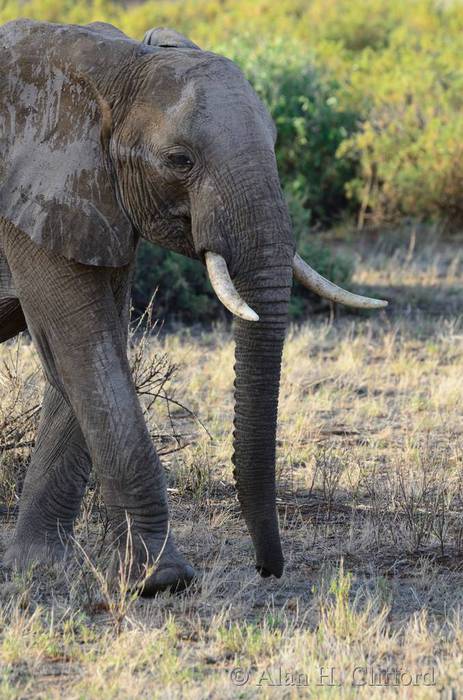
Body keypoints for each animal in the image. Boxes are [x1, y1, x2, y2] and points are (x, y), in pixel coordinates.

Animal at [0, 19, 387, 594]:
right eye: (179, 160)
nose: (267, 569)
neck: (111, 67)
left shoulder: (91, 201)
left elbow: (86, 356)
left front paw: (41, 566)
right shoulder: (28, 201)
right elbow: (82, 349)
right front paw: (162, 580)